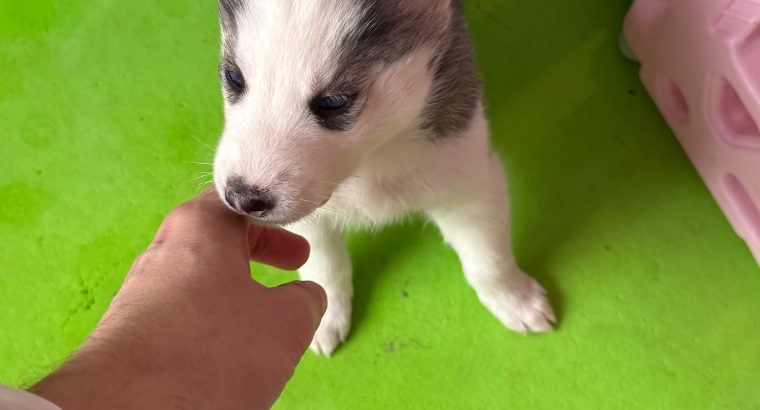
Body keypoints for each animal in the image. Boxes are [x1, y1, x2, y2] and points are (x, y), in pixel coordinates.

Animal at [211, 0, 556, 354]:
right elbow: (322, 262)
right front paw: (325, 314)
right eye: (233, 77)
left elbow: (488, 256)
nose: (242, 198)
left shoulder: (468, 173)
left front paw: (513, 297)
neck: (373, 154)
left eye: (334, 102)